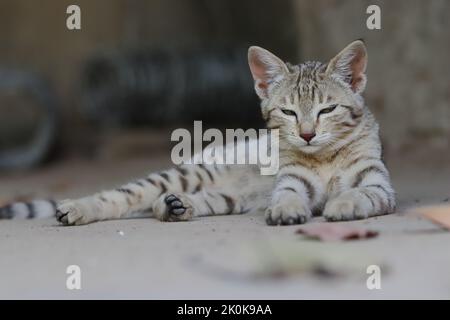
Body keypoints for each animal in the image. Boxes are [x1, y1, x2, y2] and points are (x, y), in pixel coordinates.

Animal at [0, 40, 394, 225]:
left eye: (327, 110)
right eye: (288, 112)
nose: (309, 135)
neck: (323, 158)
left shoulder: (378, 186)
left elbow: (359, 193)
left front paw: (342, 203)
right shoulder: (290, 182)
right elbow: (287, 196)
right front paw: (287, 210)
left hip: (229, 198)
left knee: (178, 201)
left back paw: (175, 206)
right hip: (187, 173)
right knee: (123, 195)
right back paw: (79, 208)